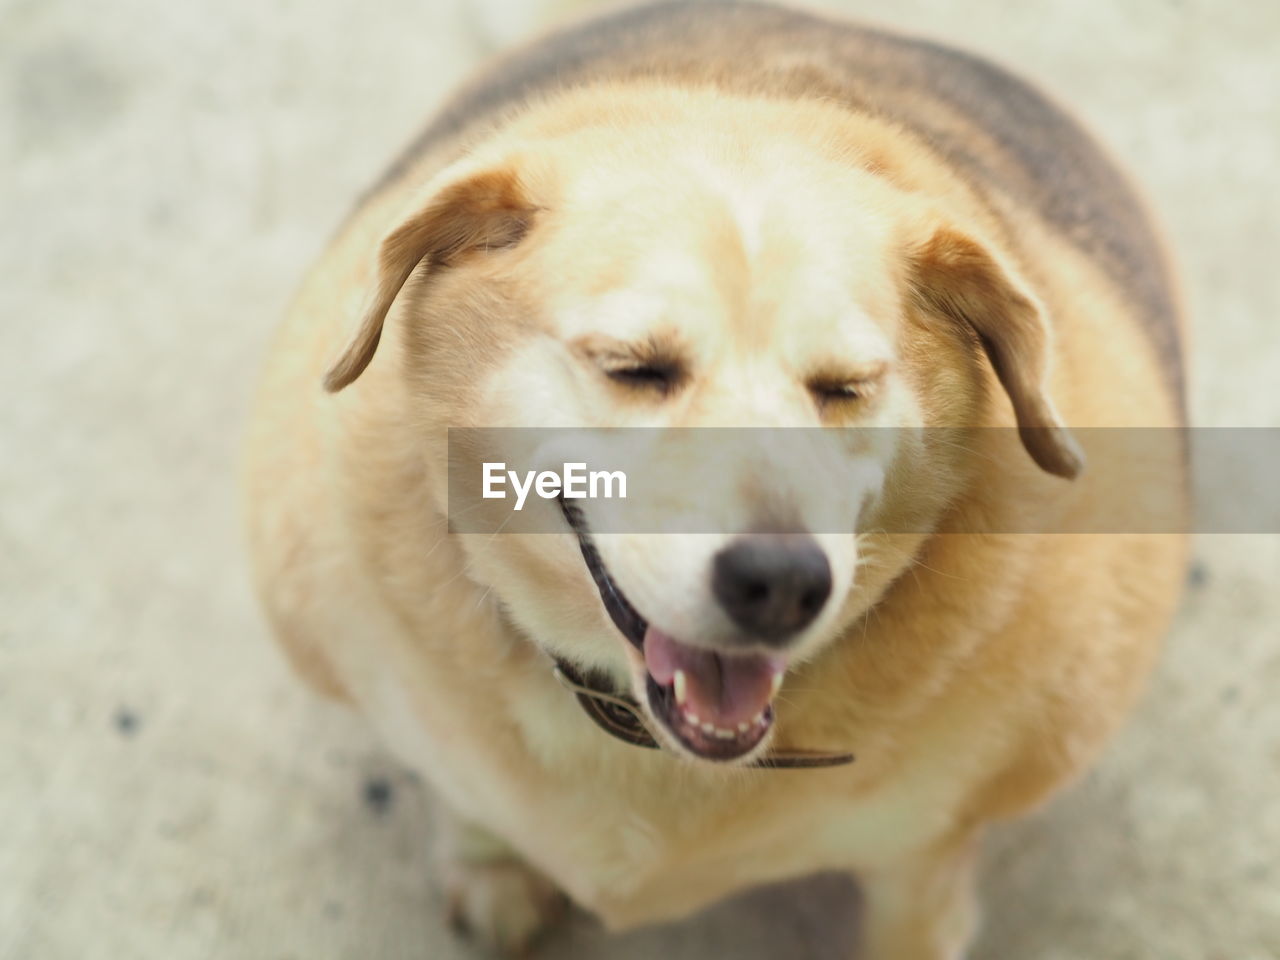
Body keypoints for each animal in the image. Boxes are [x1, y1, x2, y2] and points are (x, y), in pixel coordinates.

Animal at [241, 3, 1187, 957]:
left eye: (844, 387)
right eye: (635, 368)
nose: (781, 584)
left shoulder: (926, 865)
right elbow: (463, 789)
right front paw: (491, 862)